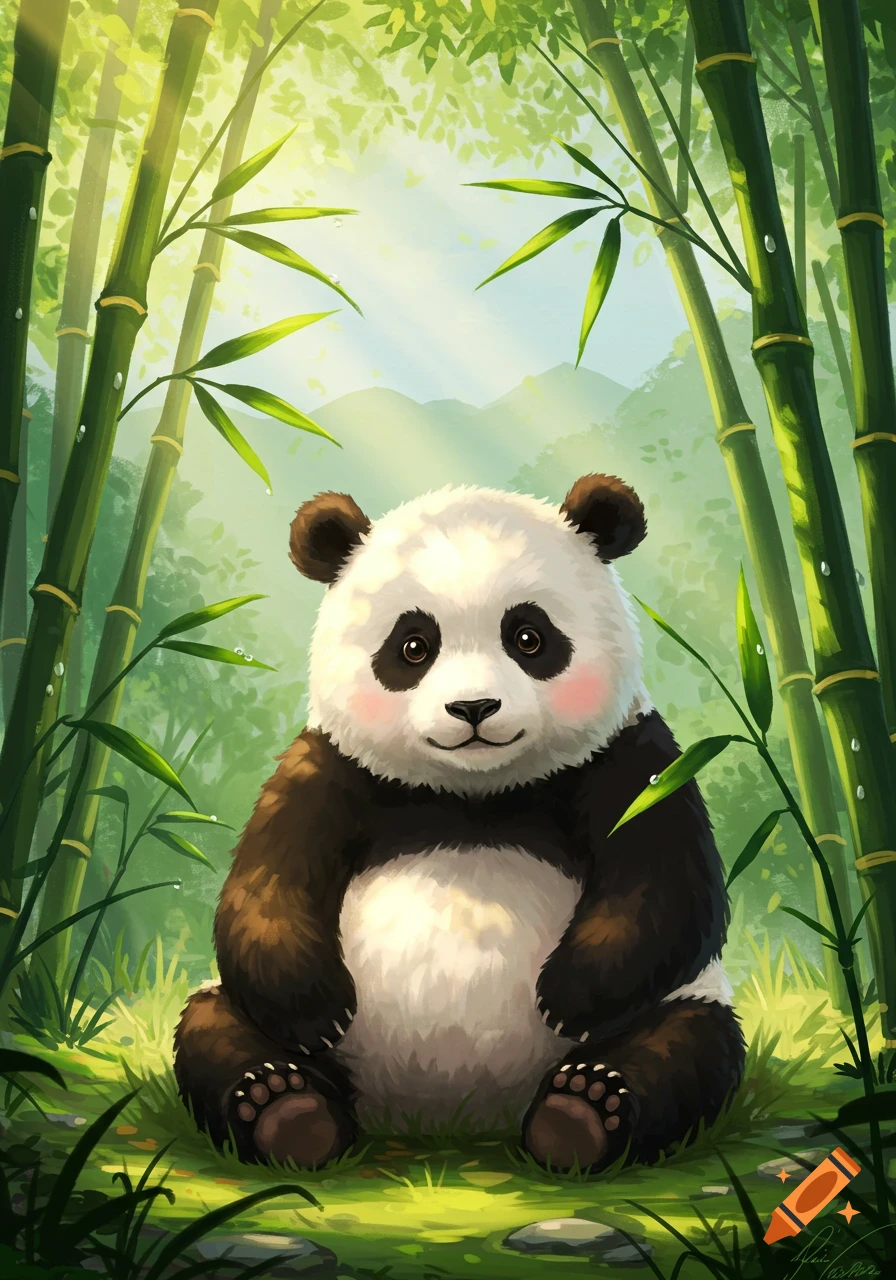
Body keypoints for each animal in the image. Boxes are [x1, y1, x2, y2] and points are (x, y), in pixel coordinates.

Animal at [174, 474, 744, 1172]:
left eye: (528, 638)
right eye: (414, 646)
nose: (473, 707)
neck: (474, 794)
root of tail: (450, 1117)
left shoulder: (628, 757)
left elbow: (668, 885)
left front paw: (568, 996)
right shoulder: (328, 770)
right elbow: (265, 883)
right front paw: (315, 1009)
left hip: (690, 1001)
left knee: (690, 1045)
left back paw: (581, 1112)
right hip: (252, 1019)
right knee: (212, 1028)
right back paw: (287, 1110)